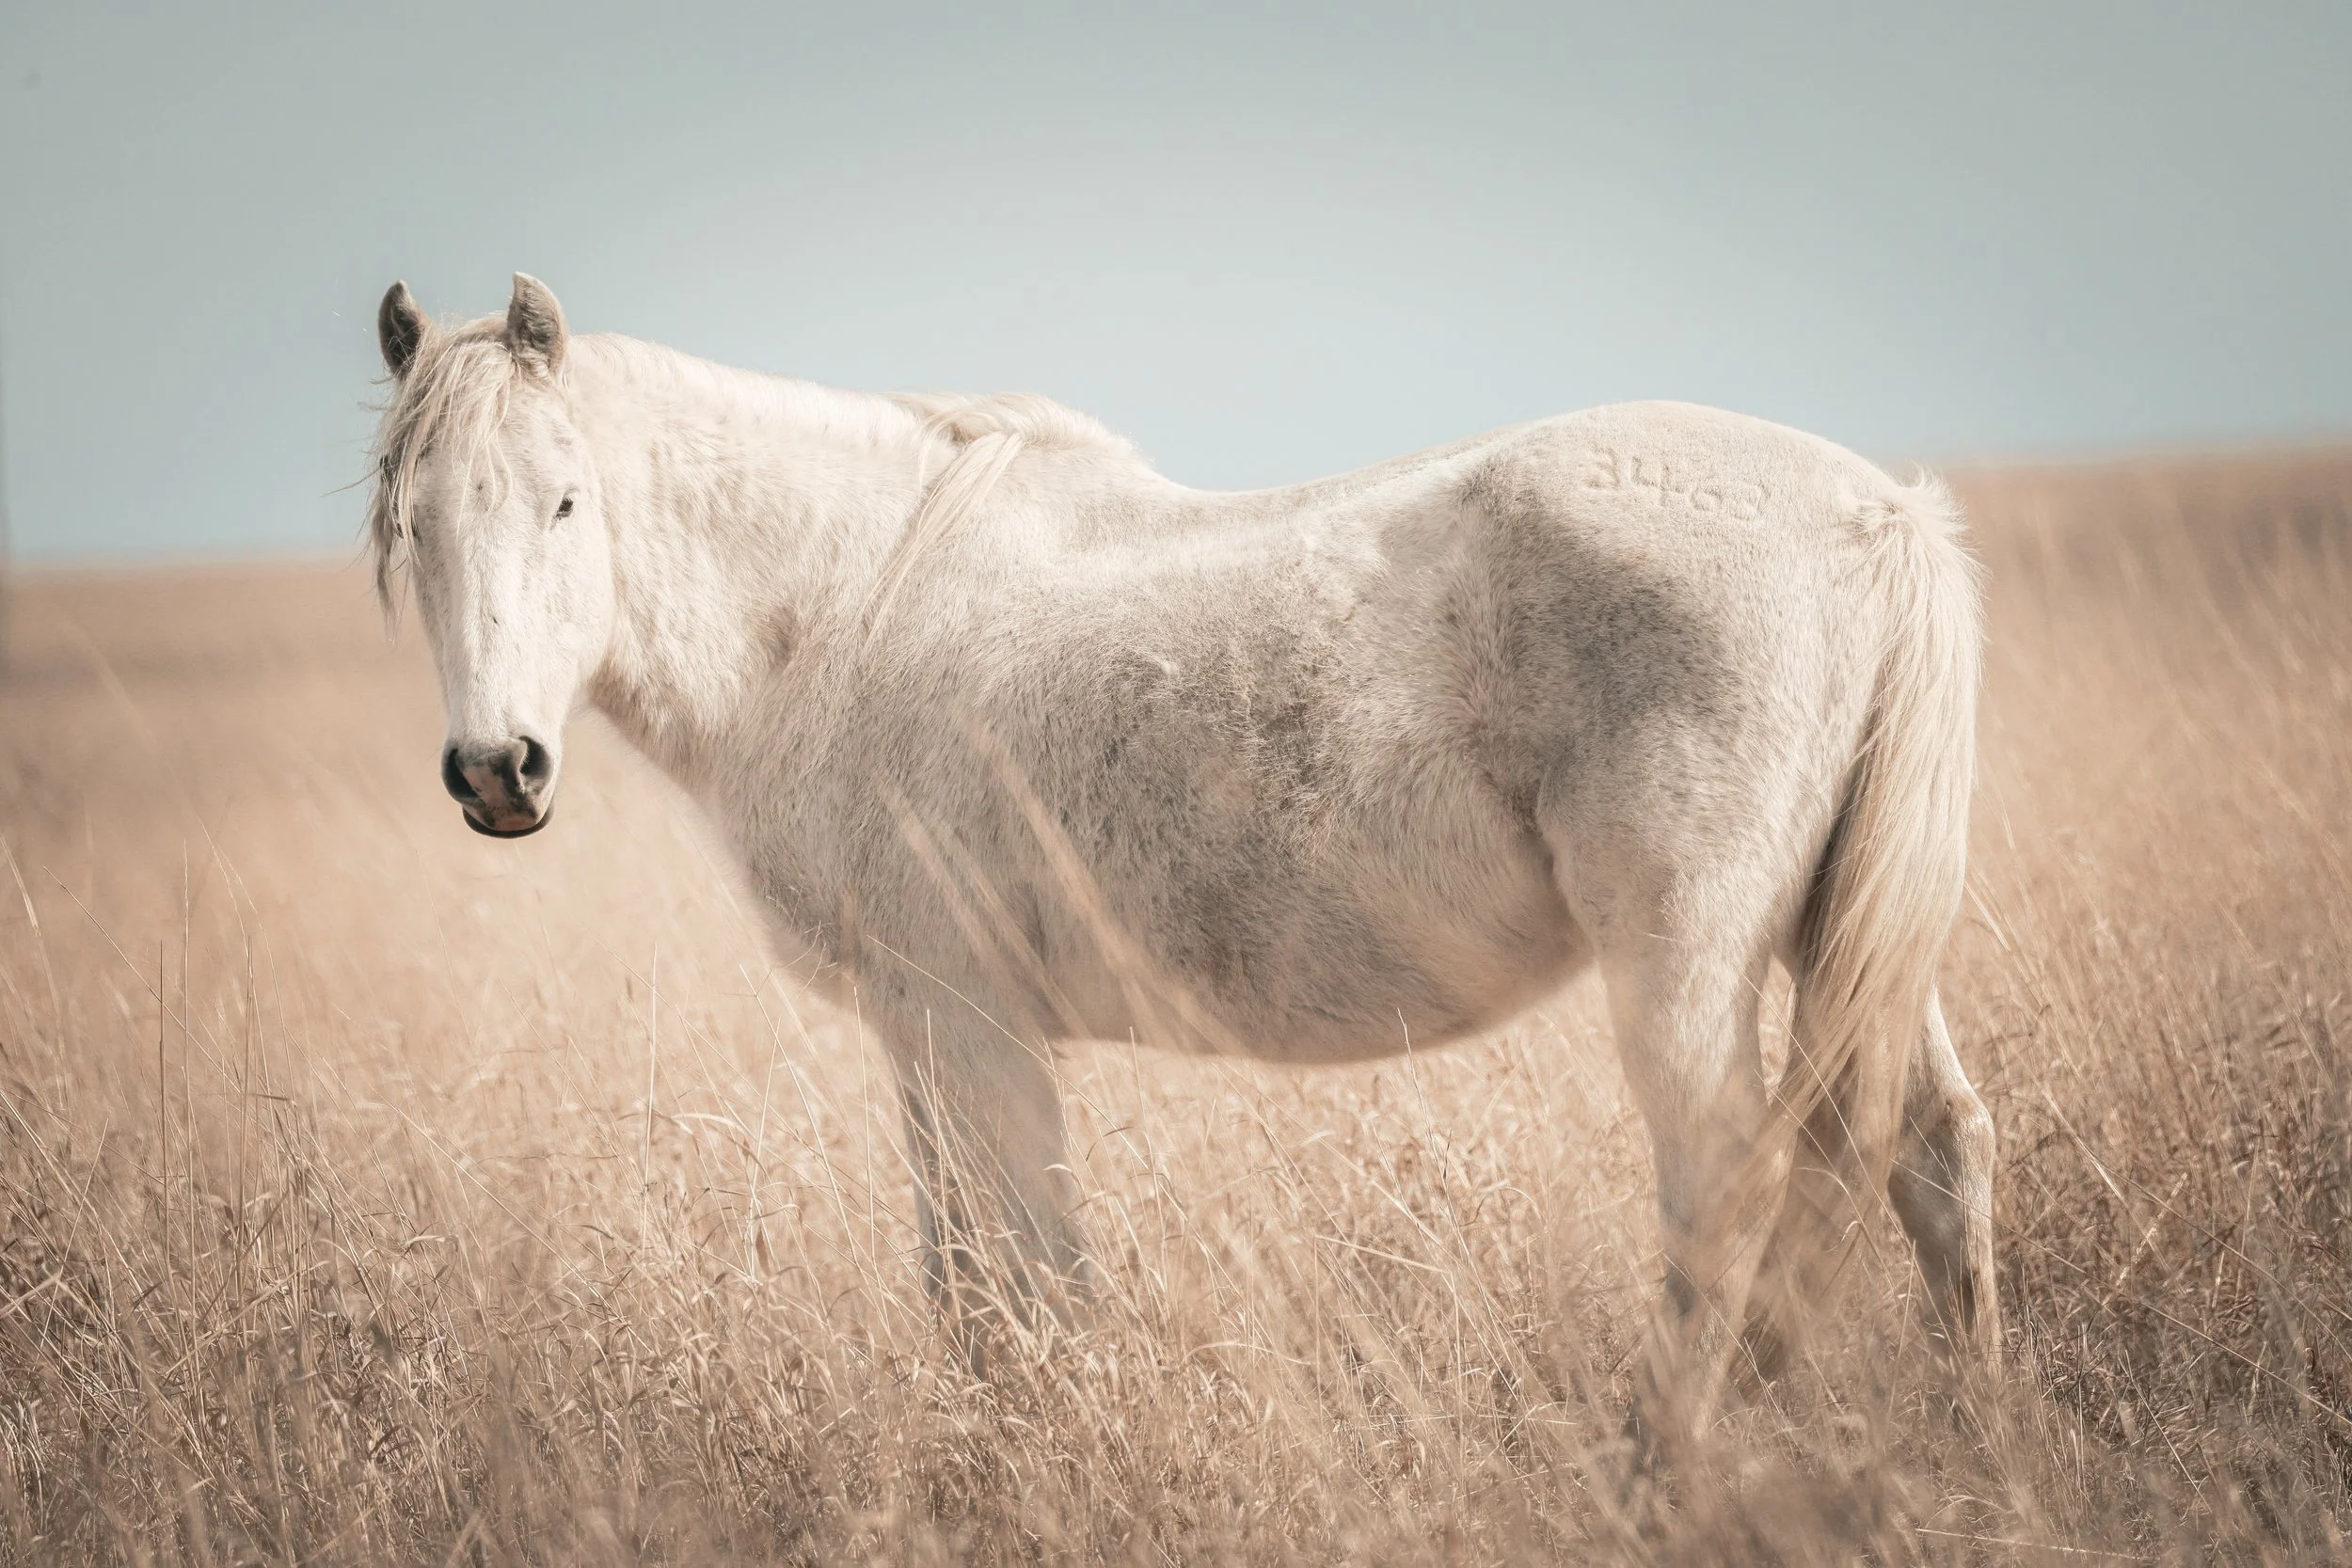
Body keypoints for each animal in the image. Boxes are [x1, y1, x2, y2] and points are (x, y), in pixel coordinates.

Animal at [365, 273, 1996, 1419]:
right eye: (412, 525)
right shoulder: (929, 1038)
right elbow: (977, 1283)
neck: (843, 609)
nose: (498, 772)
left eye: (566, 500)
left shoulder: (969, 1027)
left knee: (1724, 1192)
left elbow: (1023, 1283)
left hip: (1686, 959)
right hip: (1848, 944)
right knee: (1934, 1157)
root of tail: (1880, 513)